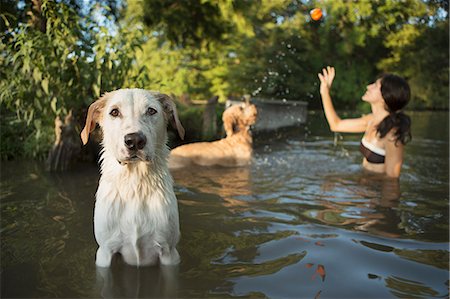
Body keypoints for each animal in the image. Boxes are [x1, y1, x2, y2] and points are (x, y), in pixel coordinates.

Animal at [80, 88, 185, 268]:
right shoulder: (105, 252)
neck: (135, 183)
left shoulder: (169, 253)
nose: (134, 140)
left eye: (151, 111)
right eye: (114, 112)